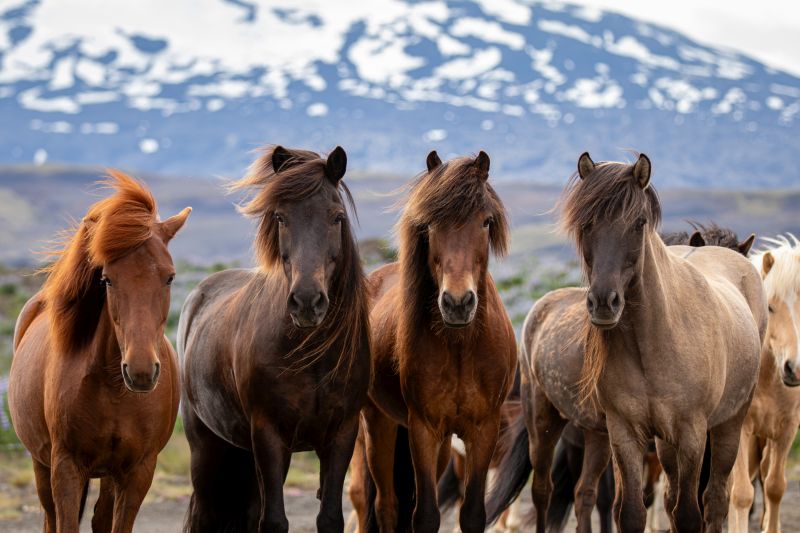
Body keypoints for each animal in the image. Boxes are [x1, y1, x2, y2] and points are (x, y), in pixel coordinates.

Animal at [9, 171, 191, 532]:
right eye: (107, 279)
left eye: (169, 277)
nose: (140, 370)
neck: (113, 390)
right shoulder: (66, 468)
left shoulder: (138, 473)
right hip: (41, 464)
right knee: (50, 517)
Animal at [177, 145, 370, 532]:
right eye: (280, 217)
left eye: (336, 217)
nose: (307, 301)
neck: (311, 353)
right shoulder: (268, 436)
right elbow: (275, 521)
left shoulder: (341, 435)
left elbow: (329, 517)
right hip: (207, 449)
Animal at [360, 150, 516, 532]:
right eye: (430, 223)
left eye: (486, 222)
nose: (458, 303)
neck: (461, 347)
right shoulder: (423, 430)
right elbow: (426, 514)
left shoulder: (483, 430)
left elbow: (473, 513)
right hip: (378, 424)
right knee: (387, 505)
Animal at [560, 151, 764, 532]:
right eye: (586, 221)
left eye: (638, 222)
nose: (604, 302)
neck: (653, 341)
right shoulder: (625, 433)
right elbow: (632, 512)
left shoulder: (692, 434)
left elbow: (688, 515)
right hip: (666, 445)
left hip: (730, 424)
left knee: (716, 501)